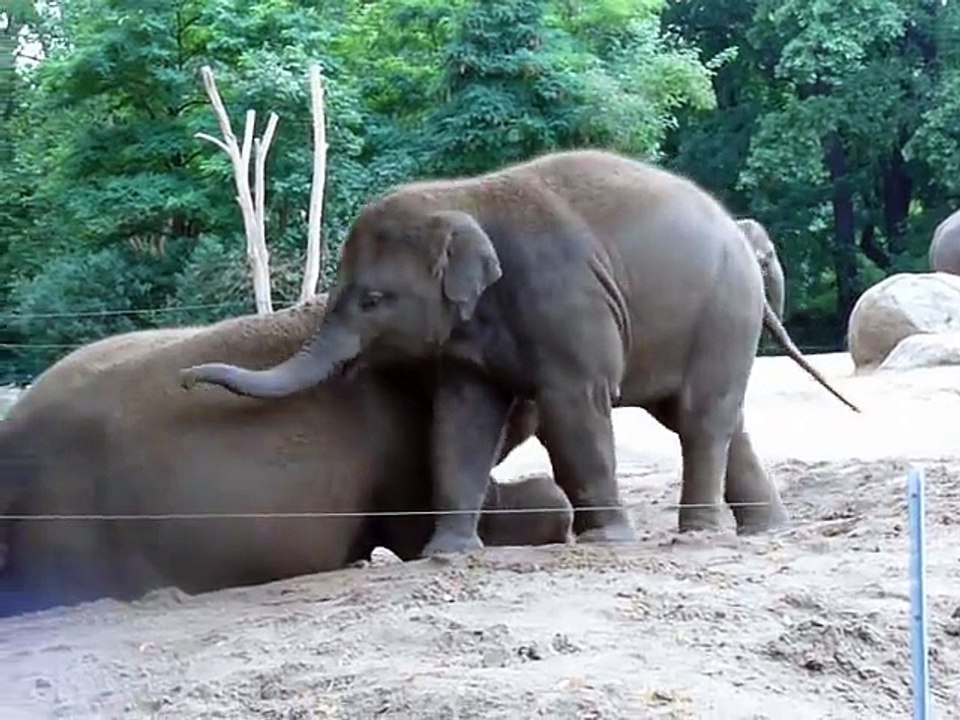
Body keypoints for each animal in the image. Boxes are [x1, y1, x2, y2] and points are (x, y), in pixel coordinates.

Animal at [180, 149, 860, 557]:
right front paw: (448, 554)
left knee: (699, 418)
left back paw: (697, 537)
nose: (186, 380)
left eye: (374, 299)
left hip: (724, 309)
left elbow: (574, 410)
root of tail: (737, 233)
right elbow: (461, 420)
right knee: (715, 418)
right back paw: (762, 530)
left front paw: (607, 543)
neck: (460, 199)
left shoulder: (565, 303)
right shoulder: (468, 344)